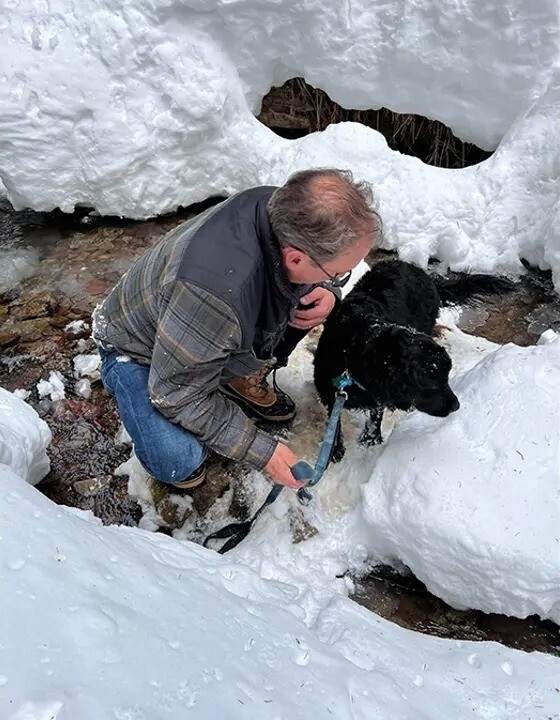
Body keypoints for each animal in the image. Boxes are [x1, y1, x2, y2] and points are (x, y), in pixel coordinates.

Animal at [312, 260, 516, 462]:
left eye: (447, 377)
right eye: (433, 383)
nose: (457, 406)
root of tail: (424, 274)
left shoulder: (376, 394)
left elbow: (376, 413)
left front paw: (371, 439)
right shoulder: (329, 390)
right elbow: (335, 423)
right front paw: (335, 450)